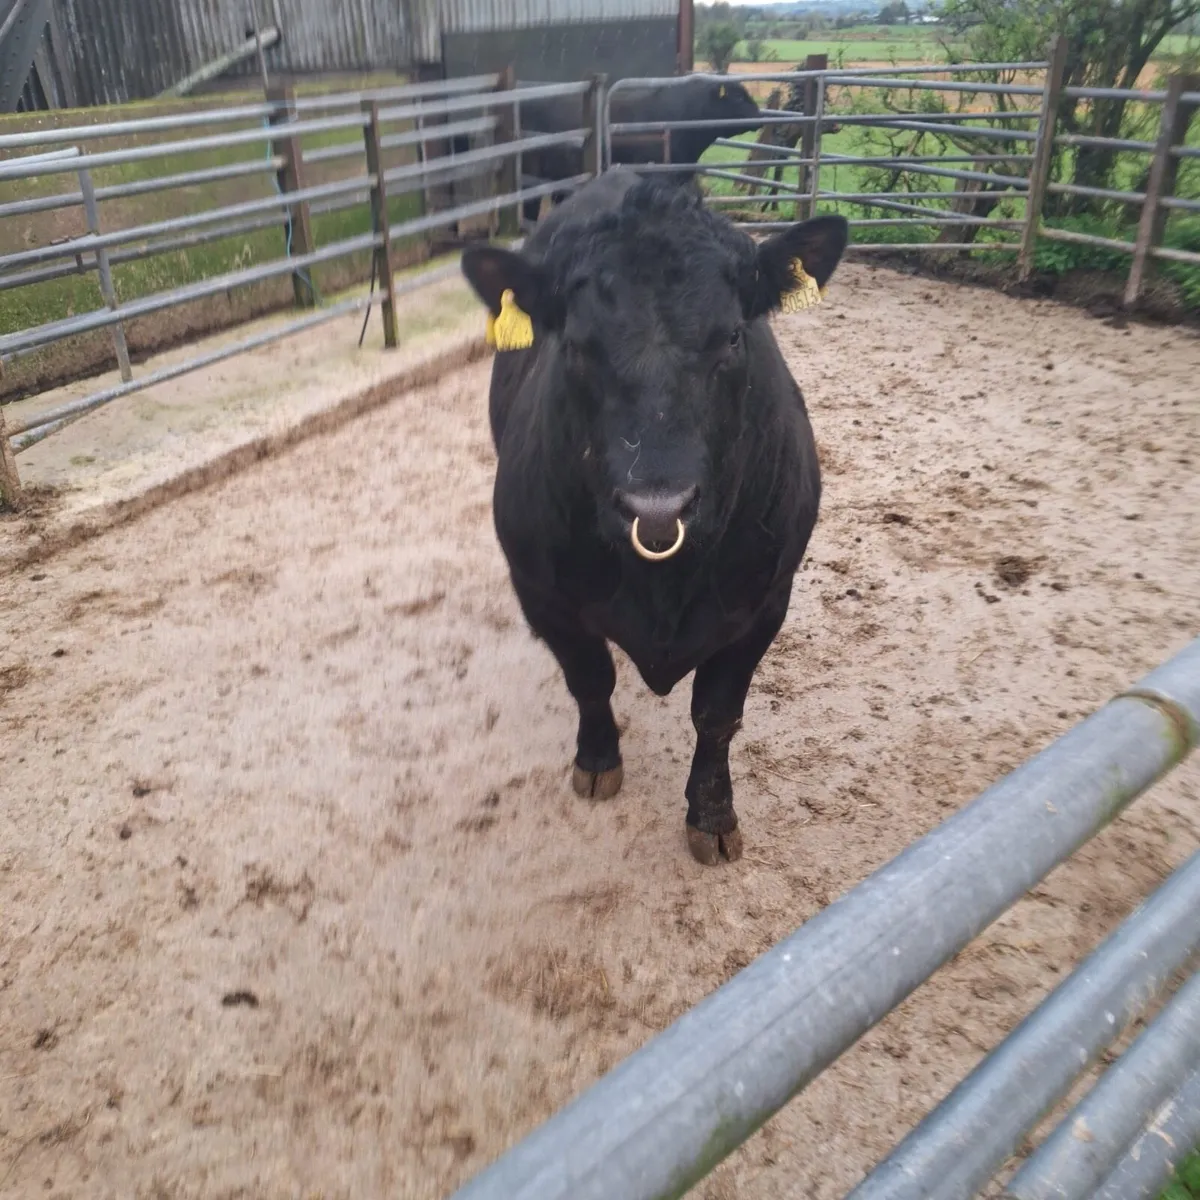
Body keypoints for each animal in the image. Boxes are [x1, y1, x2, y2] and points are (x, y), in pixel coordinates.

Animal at [460, 167, 847, 864]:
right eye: (575, 344)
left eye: (732, 336)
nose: (658, 506)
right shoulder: (542, 594)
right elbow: (589, 680)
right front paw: (597, 762)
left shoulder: (765, 602)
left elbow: (718, 714)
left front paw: (713, 816)